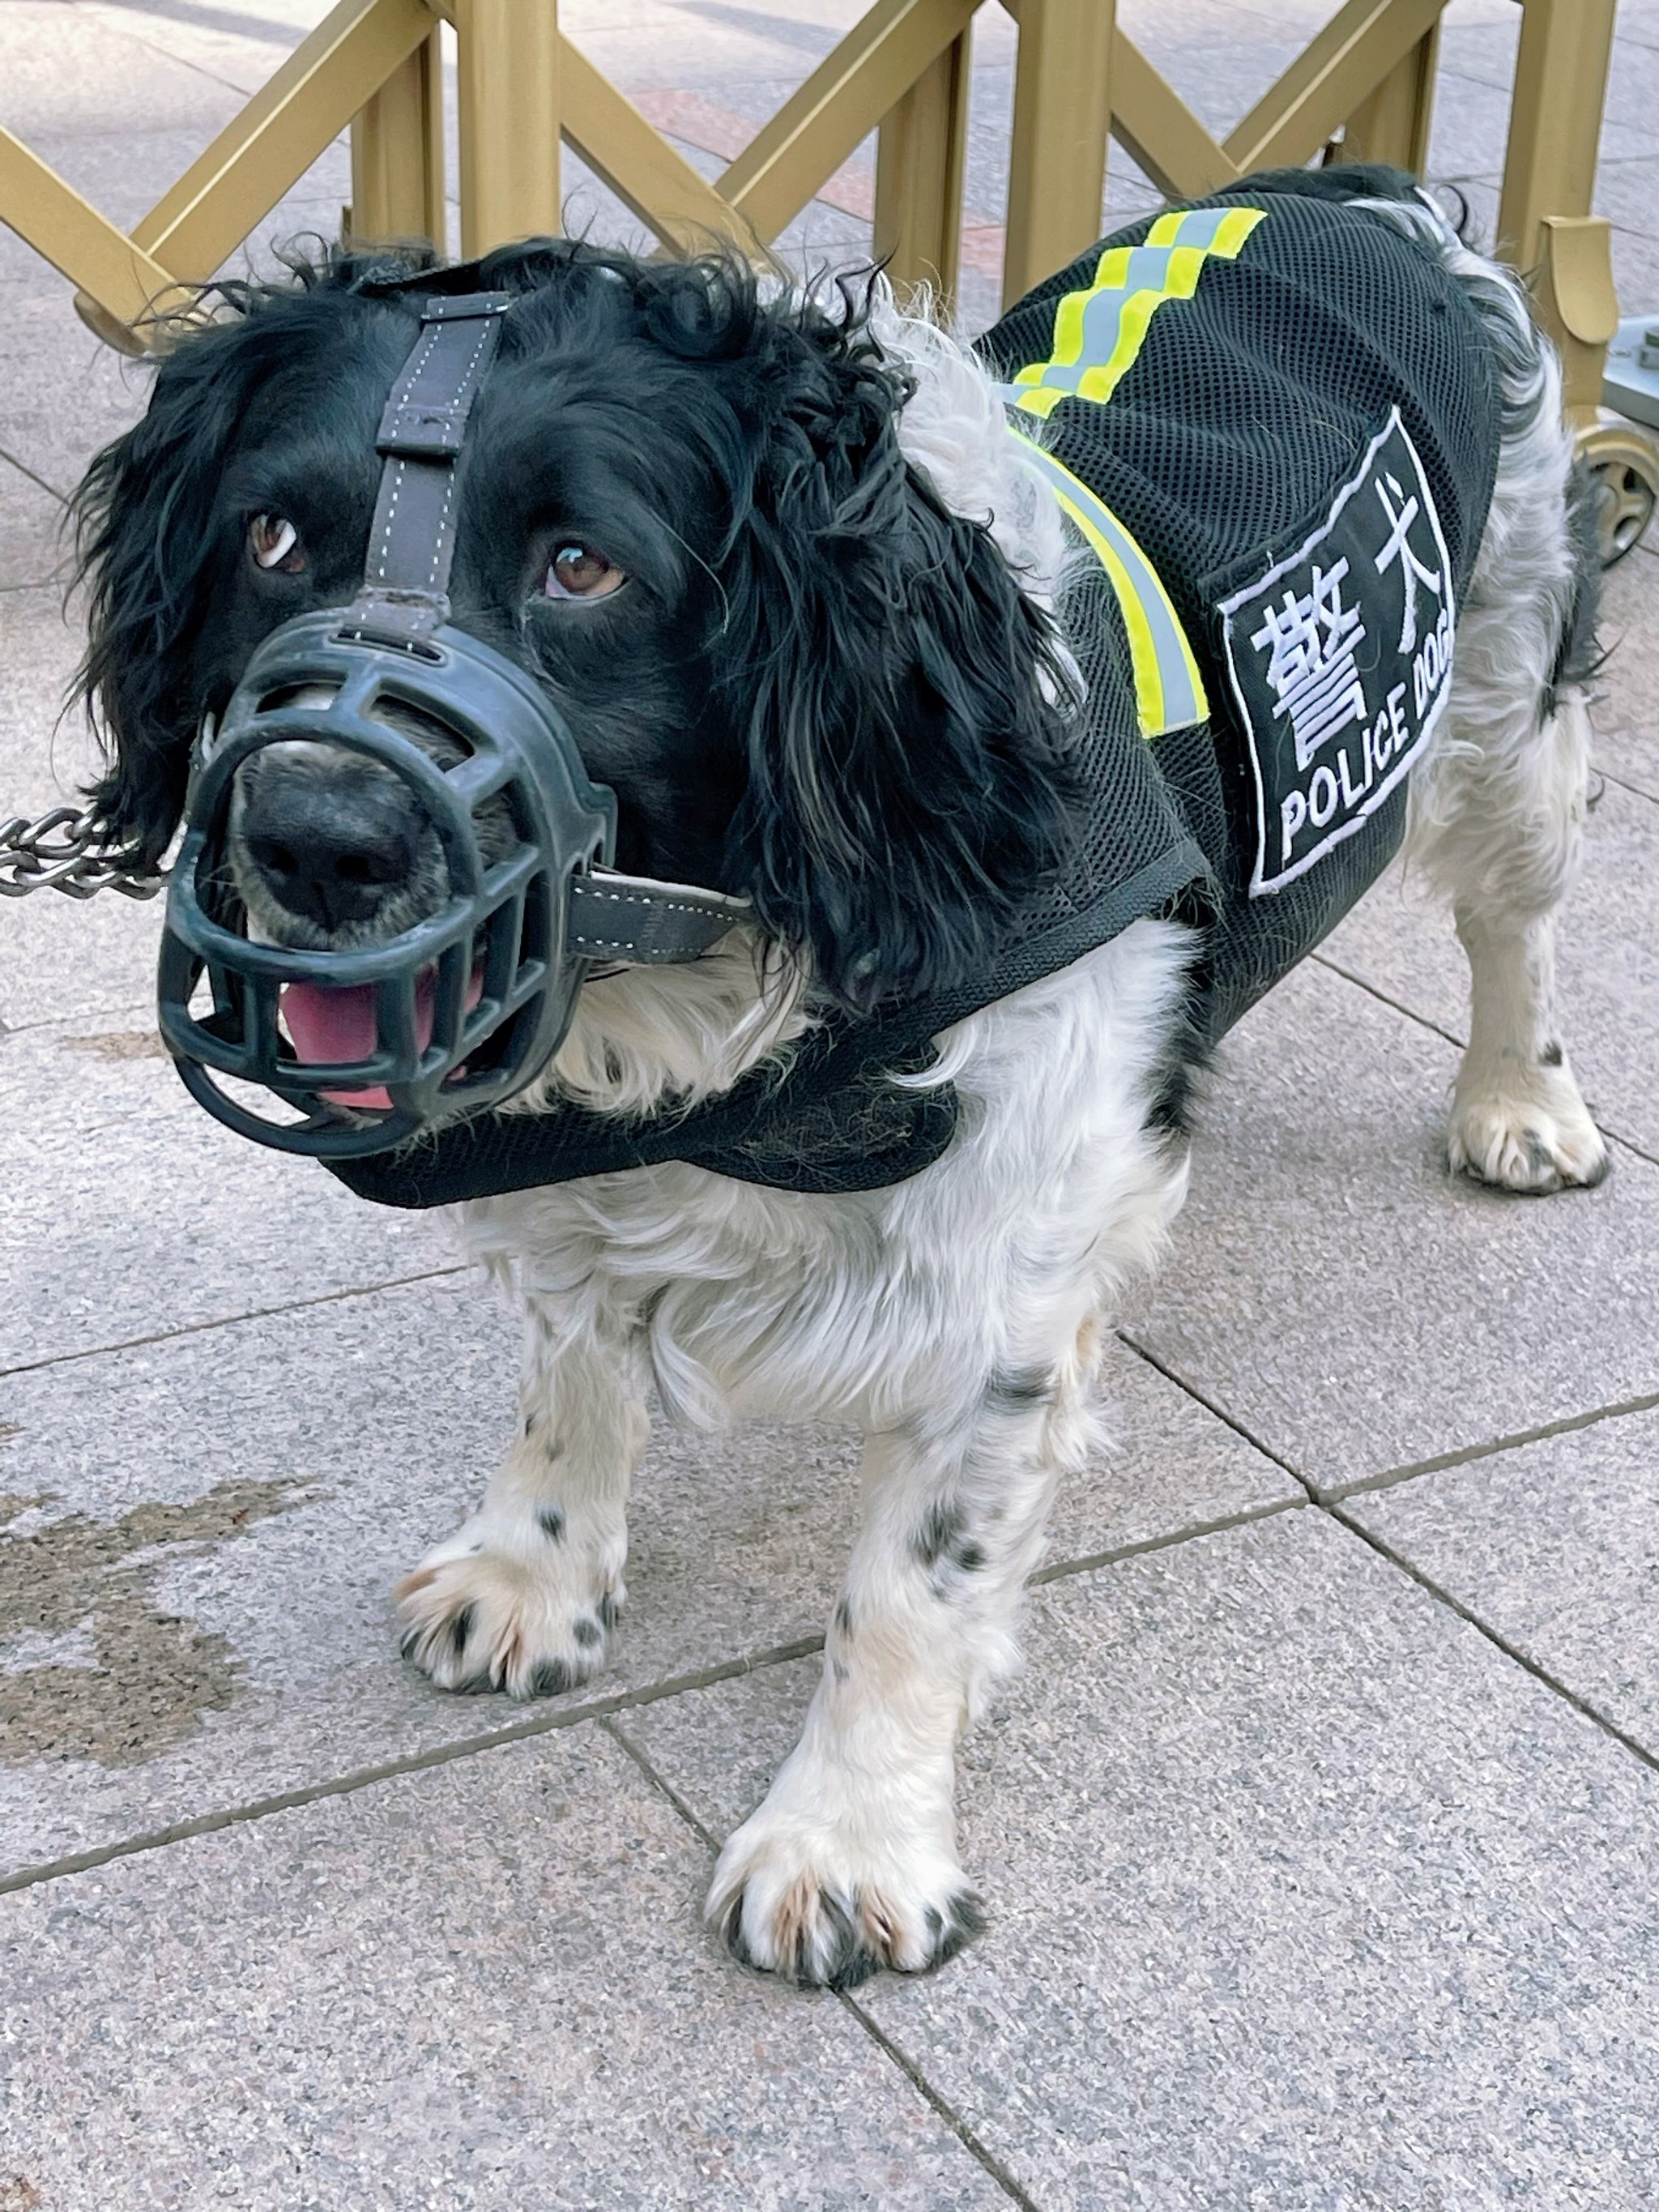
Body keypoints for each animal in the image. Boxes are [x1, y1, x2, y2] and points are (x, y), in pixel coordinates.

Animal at [75, 168, 1610, 1991]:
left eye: (582, 565)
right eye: (270, 538)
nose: (312, 836)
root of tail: (1349, 186)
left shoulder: (1000, 1289)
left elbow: (908, 1592)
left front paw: (850, 1838)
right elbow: (570, 1366)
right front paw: (534, 1576)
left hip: (1508, 704)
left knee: (1514, 922)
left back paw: (1519, 1105)